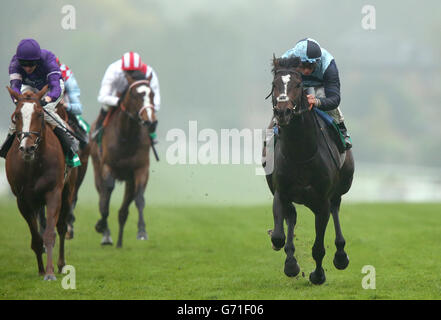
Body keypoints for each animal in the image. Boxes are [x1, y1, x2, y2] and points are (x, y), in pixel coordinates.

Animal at [4, 86, 78, 282]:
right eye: (16, 115)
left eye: (39, 114)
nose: (27, 147)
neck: (33, 165)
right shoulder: (22, 199)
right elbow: (36, 237)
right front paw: (41, 270)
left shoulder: (53, 193)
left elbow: (50, 233)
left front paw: (50, 272)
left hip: (68, 191)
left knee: (61, 226)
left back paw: (61, 265)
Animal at [89, 72, 156, 248]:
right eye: (135, 95)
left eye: (152, 94)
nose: (150, 121)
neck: (127, 136)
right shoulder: (108, 167)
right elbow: (105, 199)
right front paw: (101, 226)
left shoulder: (140, 169)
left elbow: (139, 199)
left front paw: (142, 231)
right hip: (96, 166)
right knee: (102, 195)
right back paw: (106, 234)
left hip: (129, 179)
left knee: (124, 209)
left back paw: (119, 242)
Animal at [262, 56, 352, 284]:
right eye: (274, 84)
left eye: (298, 84)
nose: (282, 112)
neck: (301, 153)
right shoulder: (281, 192)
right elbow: (279, 235)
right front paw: (289, 262)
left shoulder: (322, 200)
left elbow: (319, 247)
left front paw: (318, 275)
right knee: (292, 217)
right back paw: (291, 261)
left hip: (338, 190)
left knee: (335, 208)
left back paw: (340, 256)